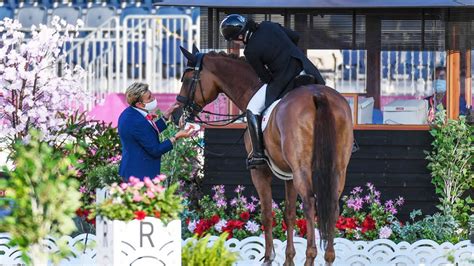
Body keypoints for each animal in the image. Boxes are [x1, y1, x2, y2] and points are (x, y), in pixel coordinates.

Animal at [176, 46, 354, 264]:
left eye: (187, 79)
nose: (178, 114)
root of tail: (318, 94)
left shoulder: (260, 171)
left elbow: (267, 214)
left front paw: (269, 257)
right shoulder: (289, 176)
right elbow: (289, 214)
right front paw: (288, 259)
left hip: (303, 170)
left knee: (310, 204)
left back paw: (311, 256)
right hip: (337, 169)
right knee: (332, 206)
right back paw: (329, 257)